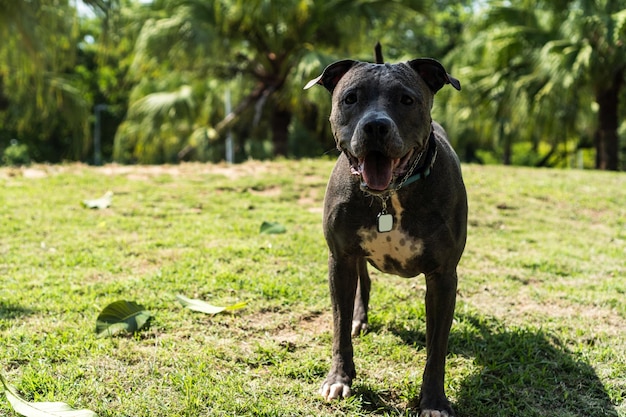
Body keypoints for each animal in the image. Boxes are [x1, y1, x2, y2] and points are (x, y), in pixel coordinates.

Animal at [304, 59, 466, 416]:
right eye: (350, 98)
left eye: (406, 100)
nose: (375, 126)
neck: (390, 198)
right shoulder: (340, 260)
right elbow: (338, 327)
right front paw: (339, 378)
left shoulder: (443, 277)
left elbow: (436, 349)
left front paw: (433, 401)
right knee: (363, 285)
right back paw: (359, 319)